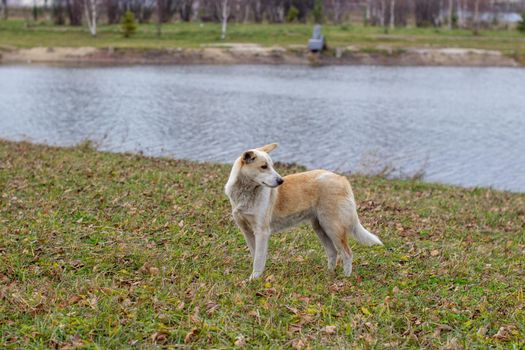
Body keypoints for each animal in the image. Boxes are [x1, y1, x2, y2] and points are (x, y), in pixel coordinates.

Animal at [224, 144, 380, 280]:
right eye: (263, 166)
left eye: (272, 166)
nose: (281, 181)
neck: (245, 193)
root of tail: (342, 179)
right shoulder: (247, 231)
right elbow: (255, 255)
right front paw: (257, 277)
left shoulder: (262, 232)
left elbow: (258, 259)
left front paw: (254, 279)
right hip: (320, 228)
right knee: (333, 252)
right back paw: (328, 275)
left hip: (332, 227)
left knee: (347, 253)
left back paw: (345, 278)